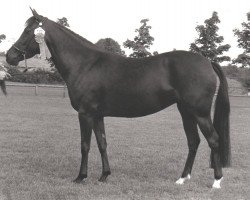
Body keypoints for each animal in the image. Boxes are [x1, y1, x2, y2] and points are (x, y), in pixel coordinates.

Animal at [5, 8, 230, 189]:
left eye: (28, 32)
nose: (9, 56)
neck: (85, 64)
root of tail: (207, 62)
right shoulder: (97, 115)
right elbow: (102, 143)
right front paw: (104, 175)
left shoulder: (85, 114)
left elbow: (85, 145)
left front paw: (81, 177)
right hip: (186, 112)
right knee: (193, 142)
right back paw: (182, 179)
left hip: (200, 113)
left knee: (213, 140)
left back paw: (217, 181)